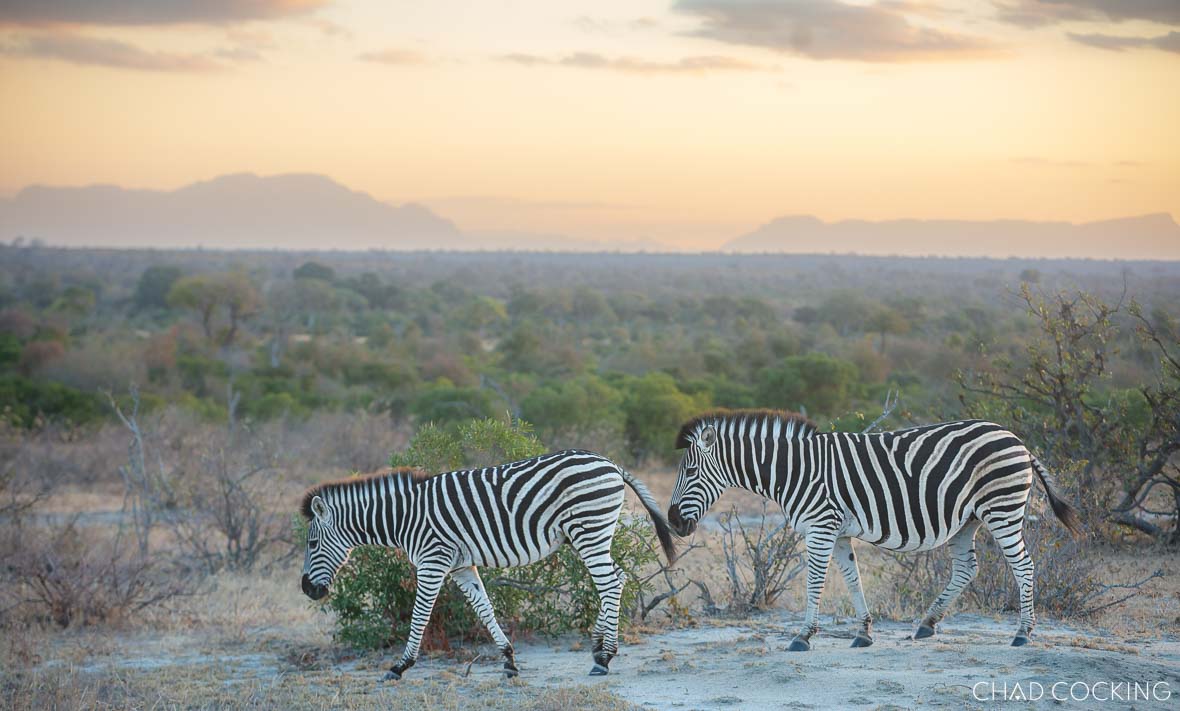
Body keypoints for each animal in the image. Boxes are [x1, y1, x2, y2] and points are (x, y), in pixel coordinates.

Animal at [300, 450, 676, 681]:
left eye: (312, 544)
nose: (306, 589)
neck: (405, 518)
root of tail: (611, 464)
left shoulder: (433, 561)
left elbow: (420, 615)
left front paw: (399, 666)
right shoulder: (461, 566)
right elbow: (484, 609)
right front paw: (508, 661)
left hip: (588, 528)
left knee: (609, 583)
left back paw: (605, 658)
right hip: (590, 533)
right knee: (617, 577)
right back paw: (598, 647)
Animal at [667, 409, 1080, 650]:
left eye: (691, 471)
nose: (672, 521)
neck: (794, 470)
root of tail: (1018, 441)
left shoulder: (820, 526)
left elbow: (815, 581)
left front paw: (804, 635)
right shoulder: (838, 531)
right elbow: (852, 578)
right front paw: (863, 632)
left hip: (1001, 509)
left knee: (1024, 566)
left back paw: (1023, 633)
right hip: (968, 520)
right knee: (966, 568)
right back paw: (927, 624)